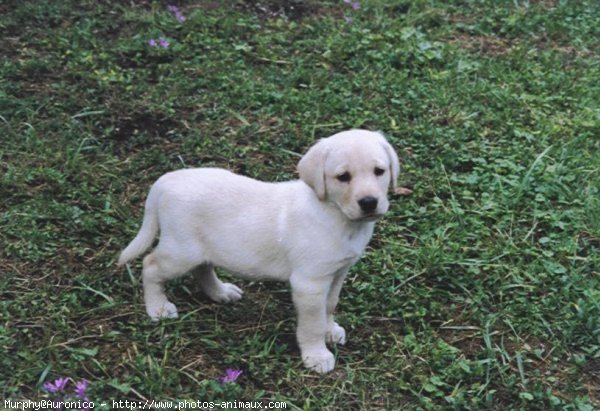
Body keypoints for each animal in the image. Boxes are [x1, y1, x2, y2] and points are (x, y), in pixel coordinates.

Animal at [117, 130, 398, 374]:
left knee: (203, 269)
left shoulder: (338, 272)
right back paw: (157, 308)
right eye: (343, 177)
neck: (334, 213)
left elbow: (329, 305)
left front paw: (331, 331)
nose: (369, 202)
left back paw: (221, 292)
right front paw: (317, 355)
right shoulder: (310, 282)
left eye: (379, 171)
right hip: (180, 251)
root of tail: (167, 180)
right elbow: (313, 322)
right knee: (151, 265)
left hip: (201, 248)